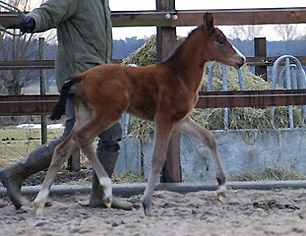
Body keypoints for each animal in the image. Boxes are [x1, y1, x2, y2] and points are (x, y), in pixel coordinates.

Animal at [33, 12, 245, 216]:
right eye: (220, 40)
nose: (241, 60)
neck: (179, 76)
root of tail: (82, 76)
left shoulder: (181, 121)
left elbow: (209, 138)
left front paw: (222, 188)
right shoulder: (164, 119)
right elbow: (157, 159)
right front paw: (147, 204)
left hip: (85, 115)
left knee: (62, 149)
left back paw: (40, 202)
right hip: (108, 113)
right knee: (83, 137)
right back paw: (107, 190)